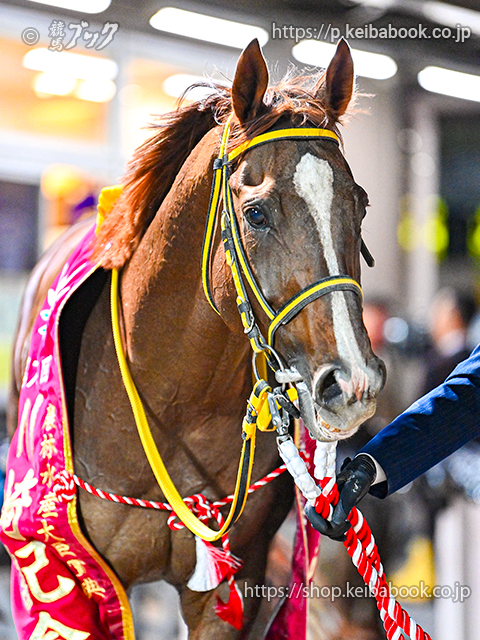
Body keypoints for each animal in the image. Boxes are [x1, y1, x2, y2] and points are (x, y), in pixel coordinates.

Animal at [6, 38, 385, 639]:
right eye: (256, 213)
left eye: (361, 204)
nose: (352, 384)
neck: (179, 400)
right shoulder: (67, 576)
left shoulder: (232, 589)